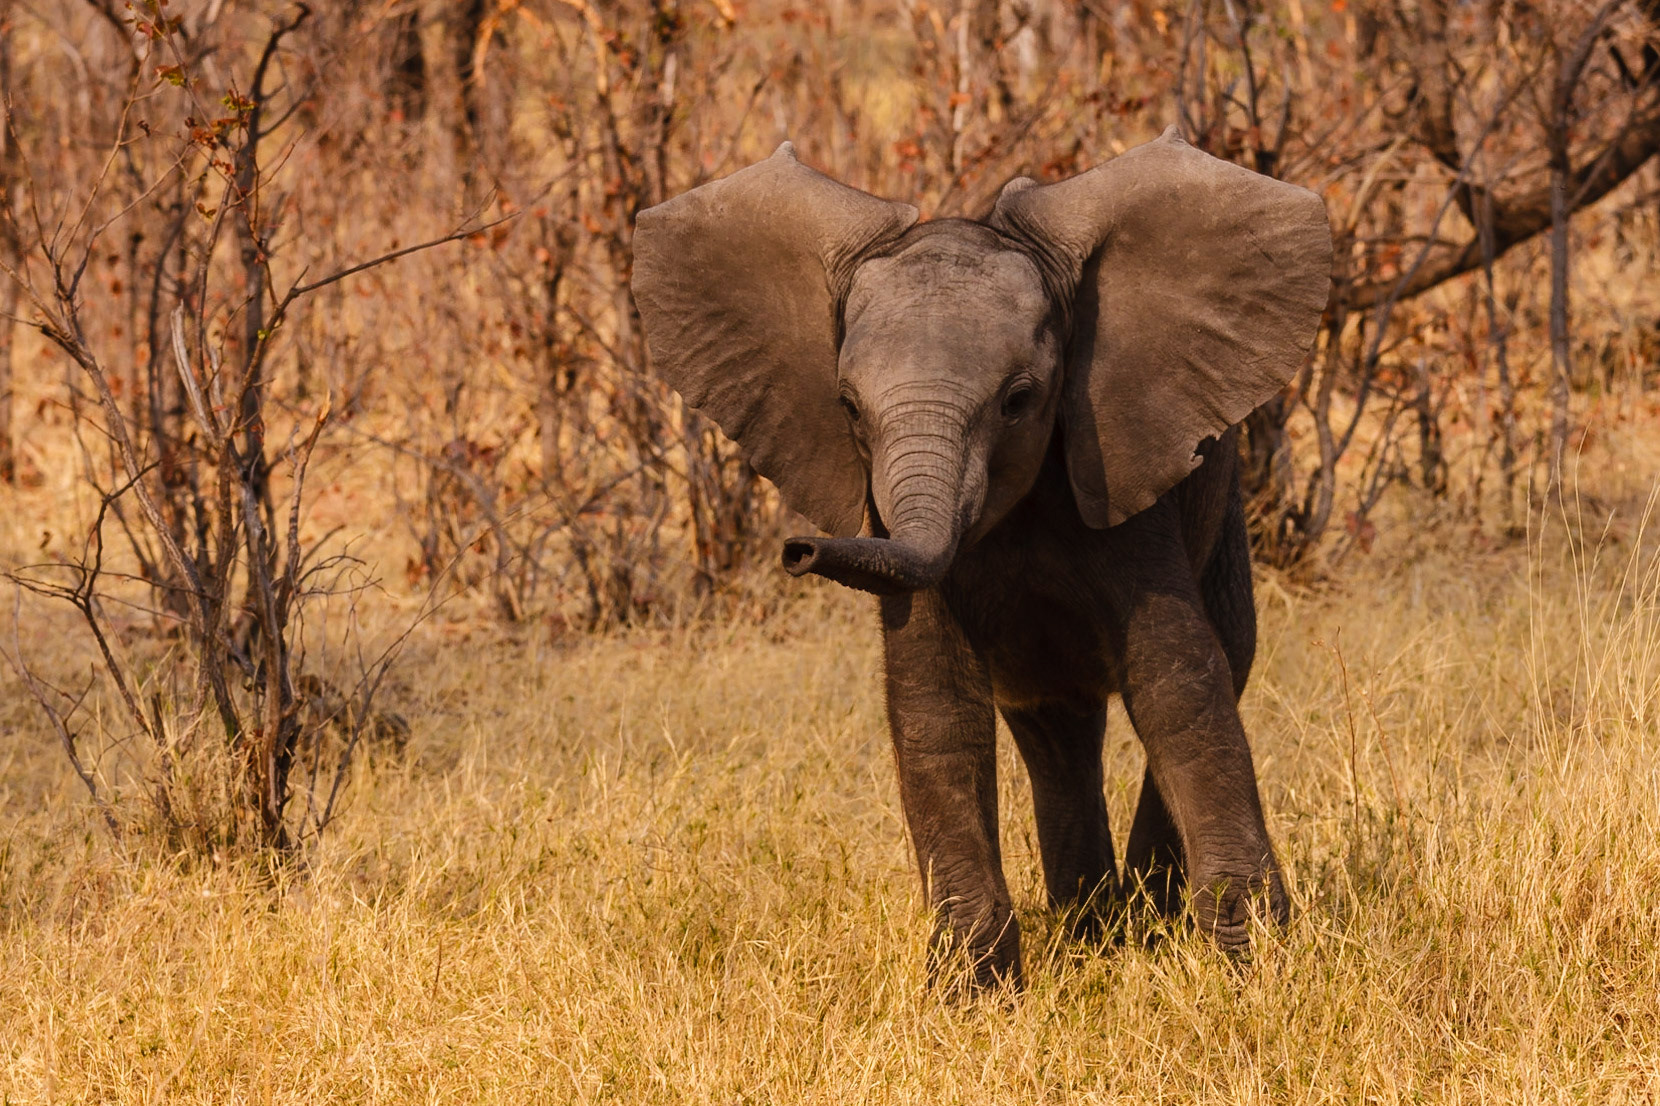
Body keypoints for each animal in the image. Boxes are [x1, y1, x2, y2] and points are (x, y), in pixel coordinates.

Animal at [630, 128, 1332, 988]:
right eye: (849, 409)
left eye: (1020, 401)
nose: (797, 549)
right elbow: (935, 702)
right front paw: (972, 991)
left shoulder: (1123, 470)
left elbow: (1178, 684)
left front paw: (1252, 967)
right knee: (1055, 729)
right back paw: (1097, 929)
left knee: (1223, 658)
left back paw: (1143, 919)